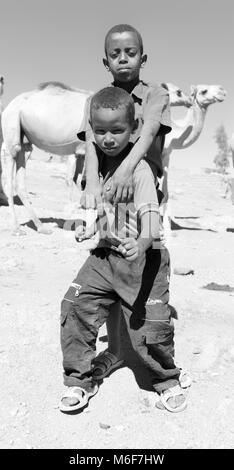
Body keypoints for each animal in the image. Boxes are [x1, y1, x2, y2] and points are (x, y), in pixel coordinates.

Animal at [0, 81, 192, 235]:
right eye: (178, 91)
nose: (190, 100)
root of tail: (10, 105)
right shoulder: (85, 149)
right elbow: (86, 186)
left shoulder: (81, 154)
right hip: (12, 127)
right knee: (9, 173)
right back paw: (16, 228)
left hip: (25, 141)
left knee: (21, 182)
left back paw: (41, 226)